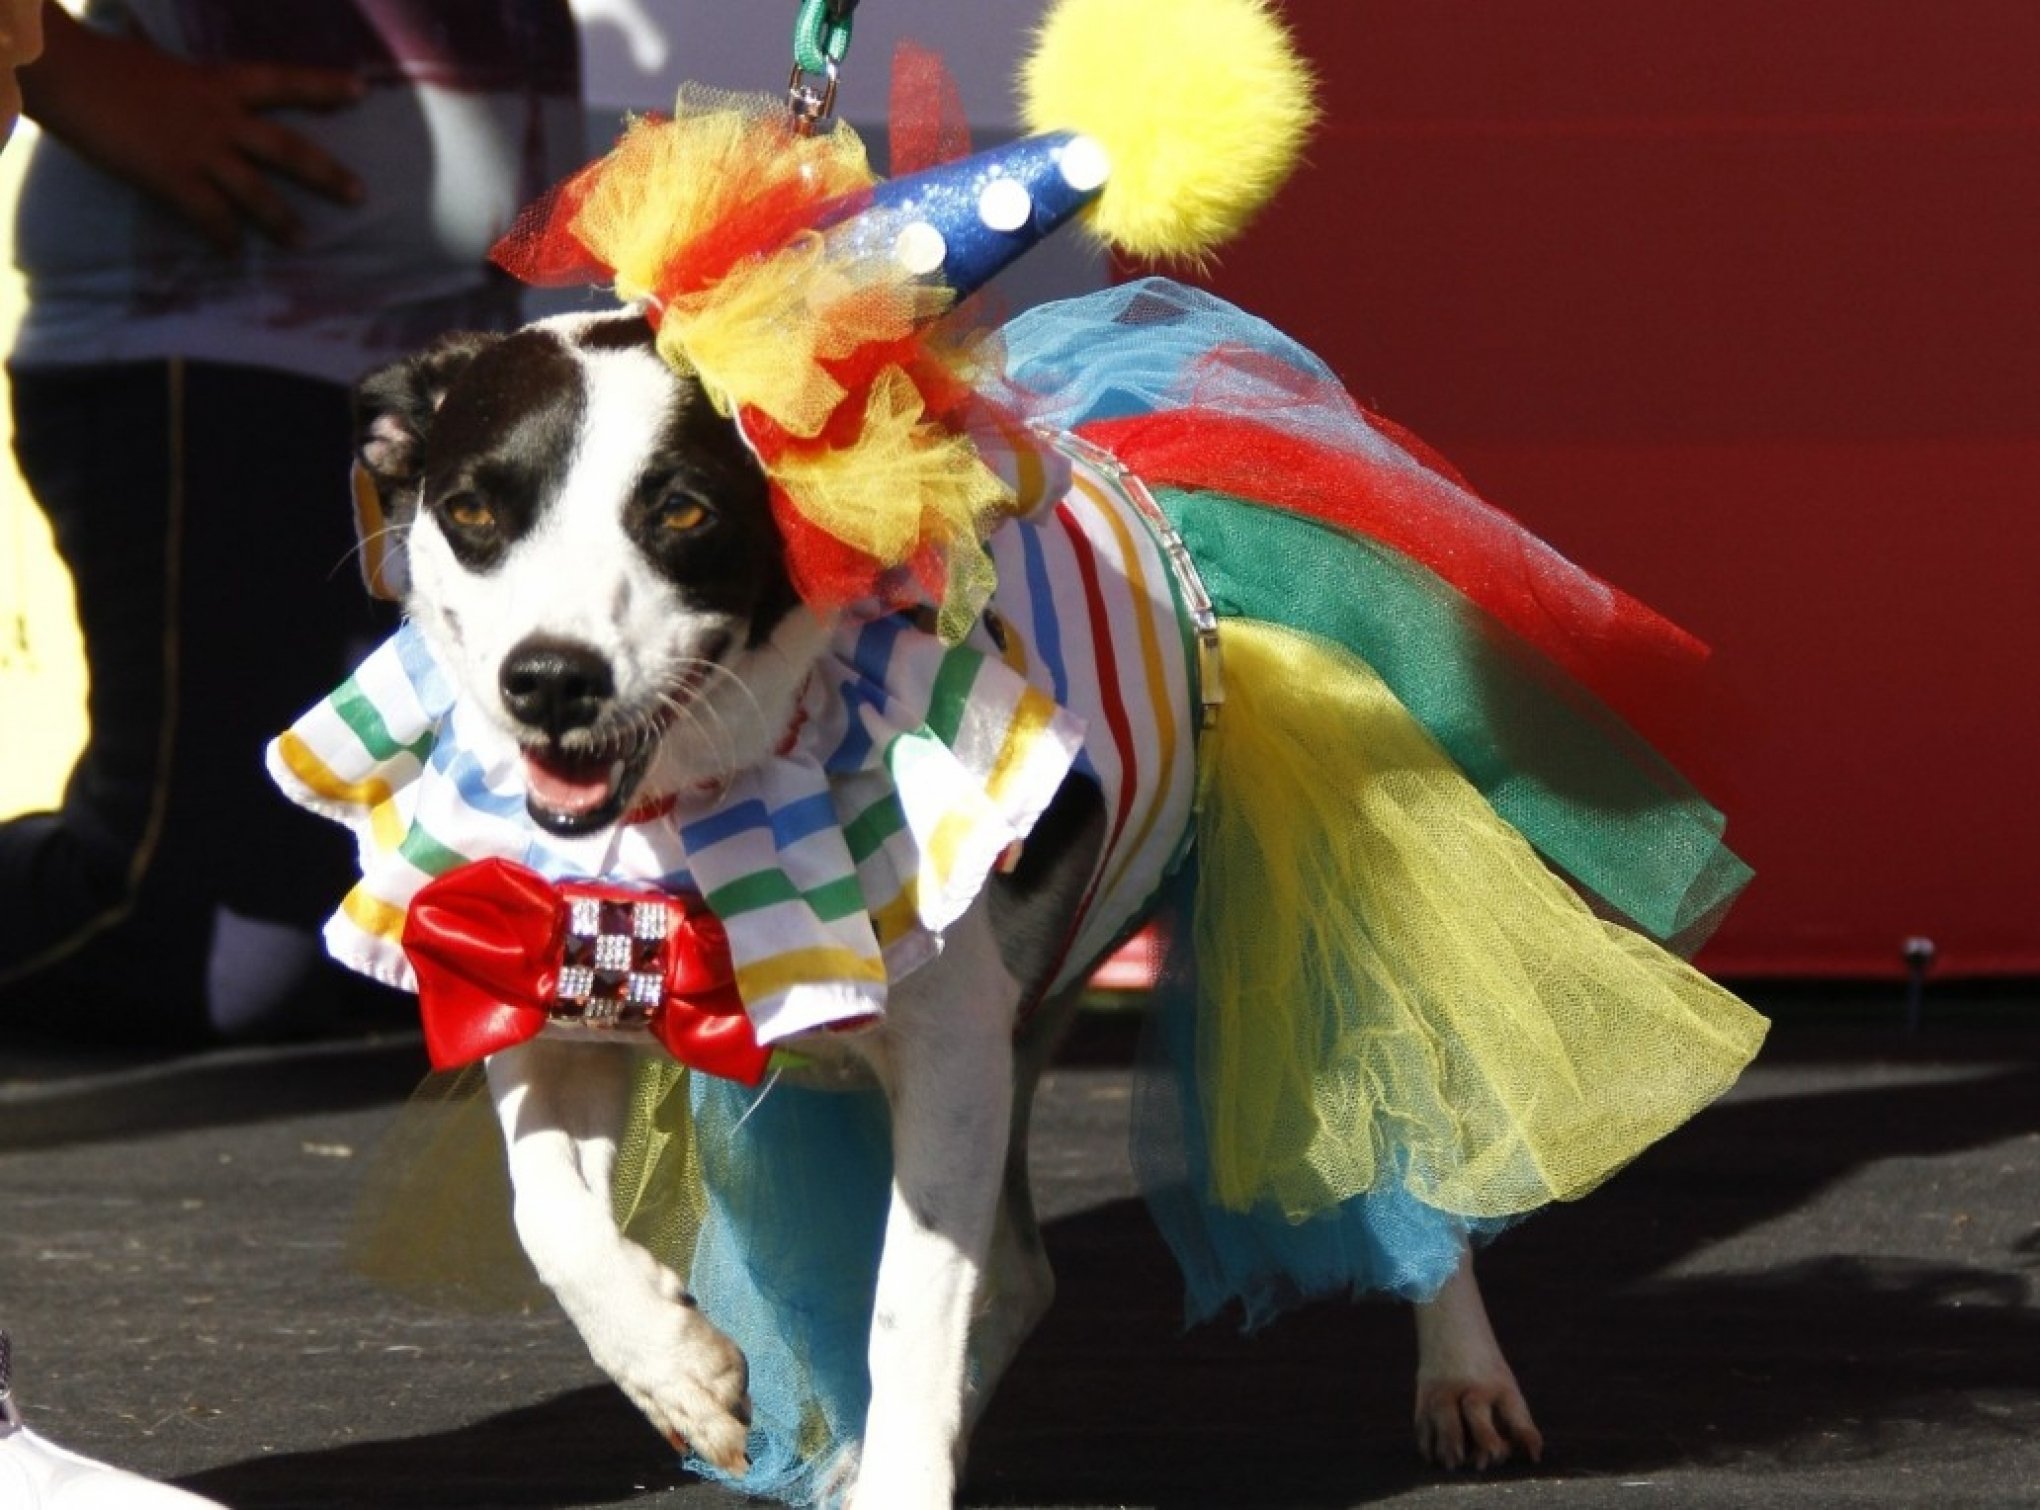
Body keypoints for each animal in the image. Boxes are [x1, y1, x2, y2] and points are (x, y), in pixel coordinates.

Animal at [350, 310, 1534, 1509]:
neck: (702, 797)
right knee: (1017, 1272)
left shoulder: (949, 1059)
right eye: (473, 512)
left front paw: (895, 1470)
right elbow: (548, 1213)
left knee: (1429, 1163)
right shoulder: (558, 986)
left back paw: (1464, 1376)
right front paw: (678, 1370)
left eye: (684, 509)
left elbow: (909, 1310)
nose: (551, 679)